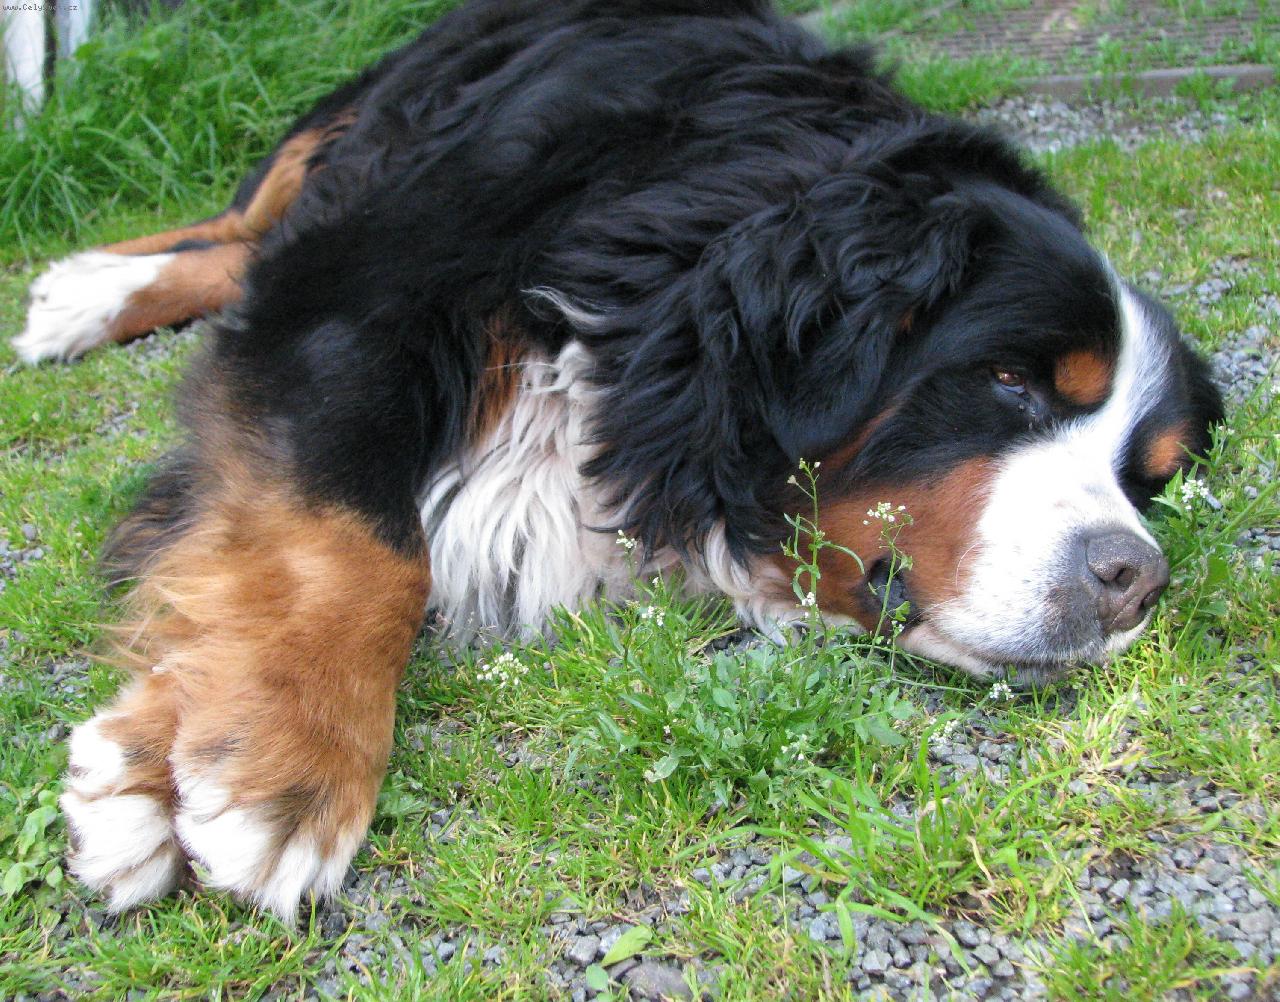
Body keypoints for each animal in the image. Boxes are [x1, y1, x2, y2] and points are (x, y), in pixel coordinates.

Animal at [20, 0, 1221, 918]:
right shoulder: (355, 304)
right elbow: (360, 546)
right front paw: (285, 769)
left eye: (1149, 476)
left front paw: (155, 762)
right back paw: (81, 290)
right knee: (243, 231)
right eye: (1011, 380)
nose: (1134, 579)